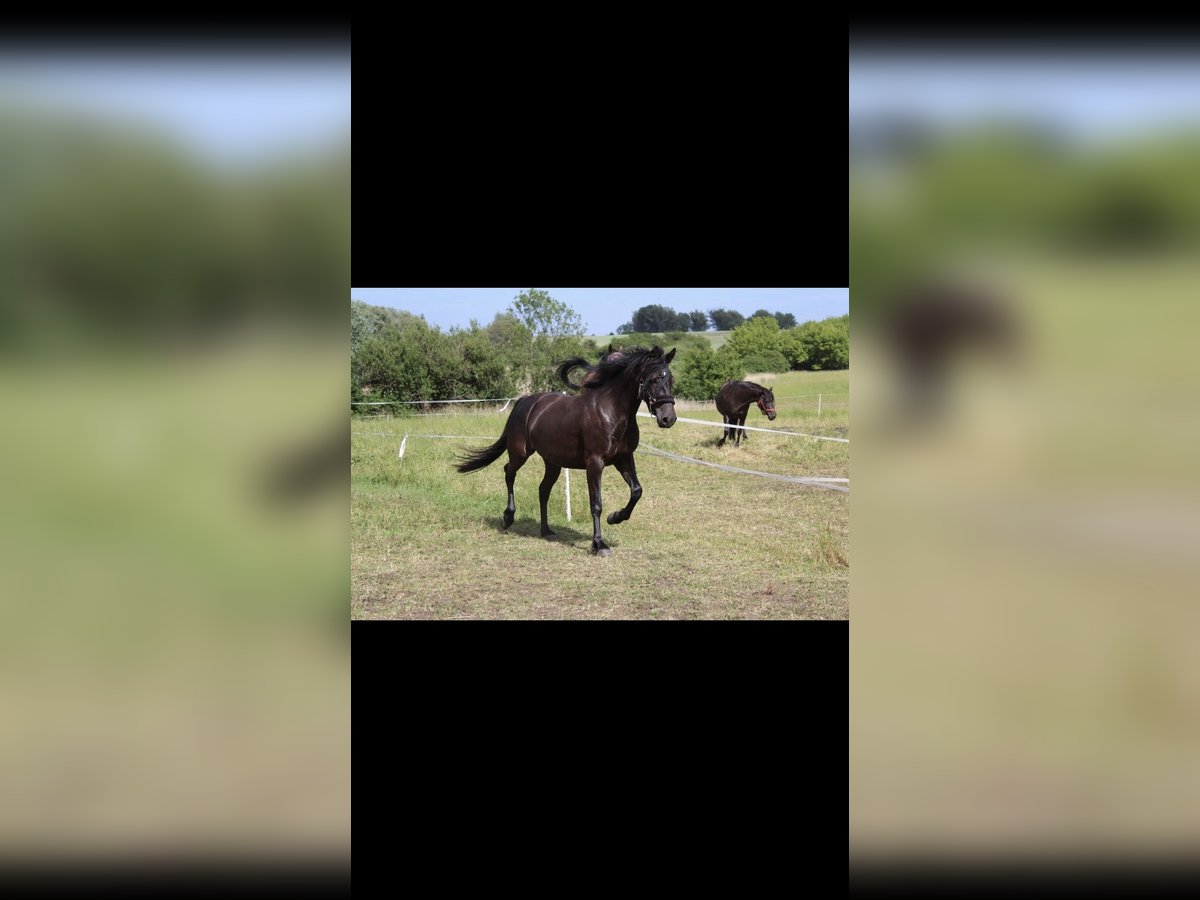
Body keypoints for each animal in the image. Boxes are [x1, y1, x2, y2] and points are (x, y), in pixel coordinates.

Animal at [453, 348, 676, 554]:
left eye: (671, 380)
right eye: (653, 379)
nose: (668, 419)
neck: (611, 413)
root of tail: (524, 402)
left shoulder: (624, 459)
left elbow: (637, 491)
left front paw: (615, 518)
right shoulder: (595, 463)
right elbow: (596, 503)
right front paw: (598, 544)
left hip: (553, 463)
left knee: (543, 490)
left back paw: (546, 531)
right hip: (520, 453)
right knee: (509, 472)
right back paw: (508, 517)